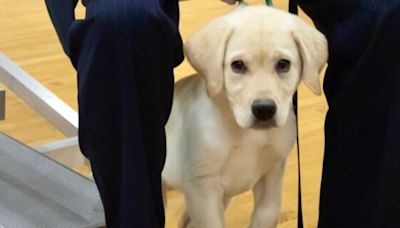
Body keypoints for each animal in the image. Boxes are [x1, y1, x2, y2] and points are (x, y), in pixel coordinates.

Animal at [162, 5, 328, 228]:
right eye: (238, 65)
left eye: (283, 64)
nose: (264, 109)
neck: (248, 135)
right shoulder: (203, 185)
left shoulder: (272, 173)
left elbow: (267, 214)